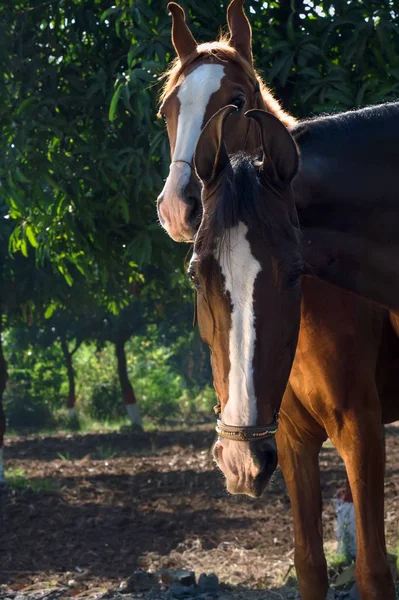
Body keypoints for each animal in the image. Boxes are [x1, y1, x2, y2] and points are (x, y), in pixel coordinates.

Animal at [191, 105, 399, 596]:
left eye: (294, 272)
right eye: (194, 275)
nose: (239, 462)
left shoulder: (361, 431)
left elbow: (372, 570)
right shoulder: (290, 439)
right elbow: (309, 563)